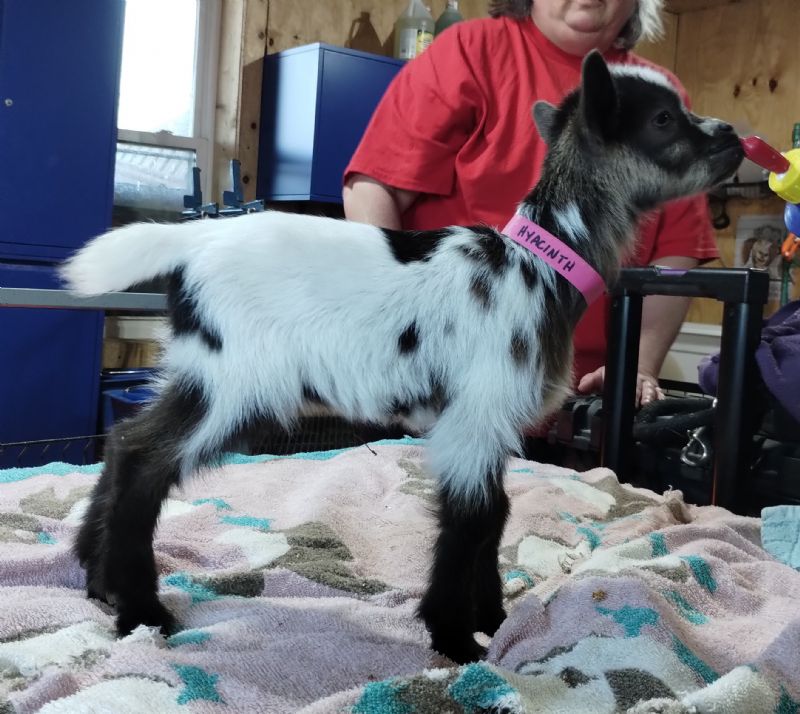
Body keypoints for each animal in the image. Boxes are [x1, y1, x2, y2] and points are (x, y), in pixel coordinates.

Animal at [61, 51, 743, 665]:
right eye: (663, 119)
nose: (734, 135)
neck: (538, 265)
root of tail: (193, 239)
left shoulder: (490, 423)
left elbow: (496, 514)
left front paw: (493, 617)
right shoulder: (474, 416)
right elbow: (470, 519)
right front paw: (454, 638)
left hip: (206, 371)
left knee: (122, 442)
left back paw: (96, 580)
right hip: (235, 378)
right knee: (144, 458)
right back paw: (141, 611)